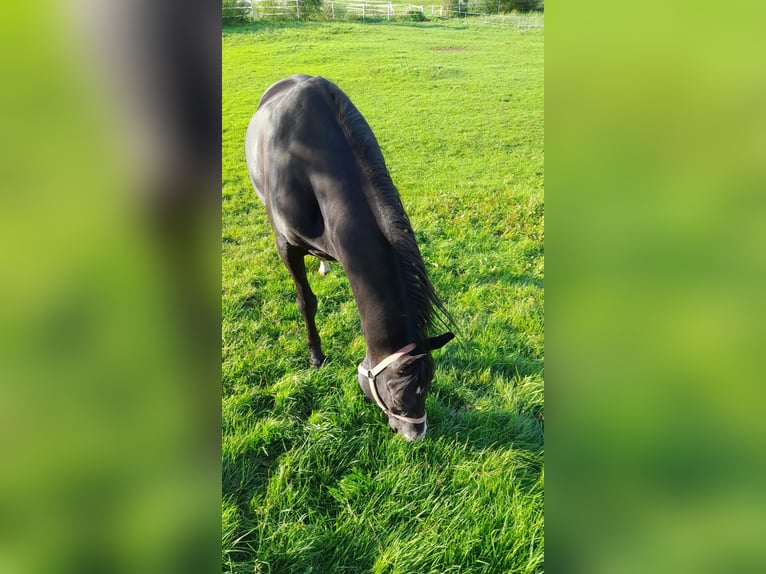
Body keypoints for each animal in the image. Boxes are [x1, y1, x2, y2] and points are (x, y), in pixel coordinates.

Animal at [246, 76, 452, 444]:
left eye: (428, 385)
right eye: (397, 397)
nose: (416, 435)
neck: (313, 165)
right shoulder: (286, 246)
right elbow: (306, 302)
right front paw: (316, 356)